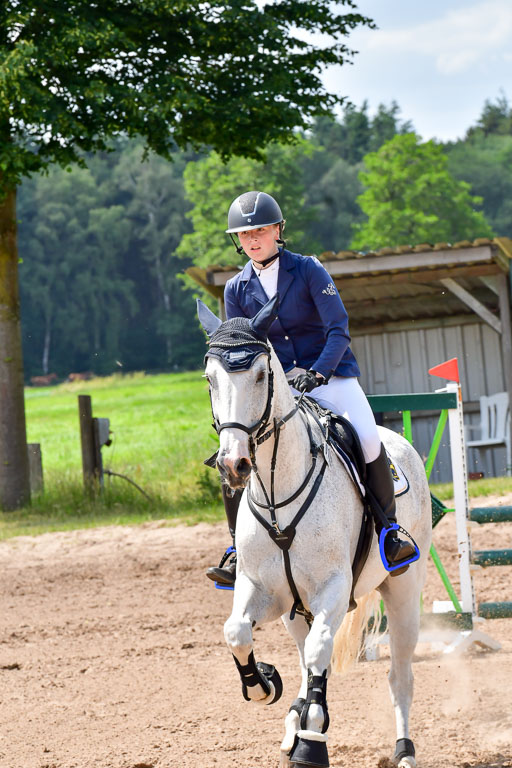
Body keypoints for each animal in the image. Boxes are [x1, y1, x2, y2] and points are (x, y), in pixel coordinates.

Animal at [198, 294, 432, 768]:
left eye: (260, 374)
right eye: (210, 379)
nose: (234, 464)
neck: (277, 494)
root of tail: (400, 442)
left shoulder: (333, 589)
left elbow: (322, 649)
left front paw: (312, 741)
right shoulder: (263, 589)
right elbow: (237, 633)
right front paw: (265, 683)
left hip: (402, 591)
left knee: (399, 675)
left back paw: (403, 750)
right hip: (295, 610)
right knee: (306, 659)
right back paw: (295, 717)